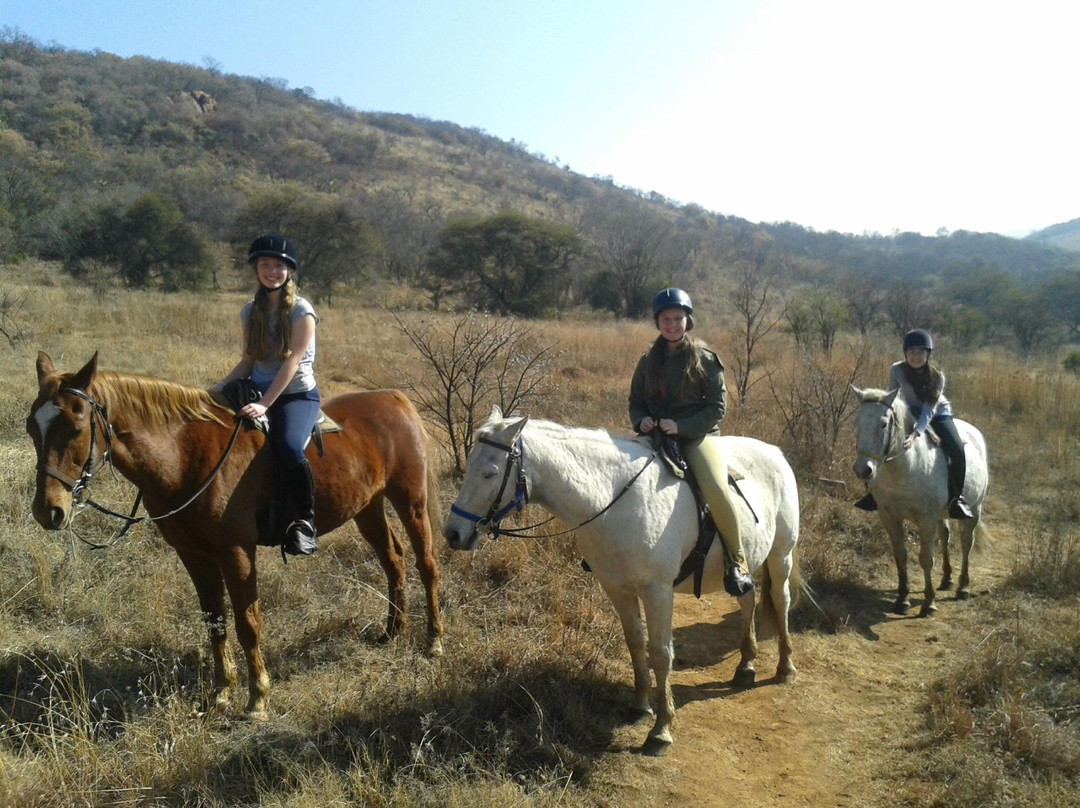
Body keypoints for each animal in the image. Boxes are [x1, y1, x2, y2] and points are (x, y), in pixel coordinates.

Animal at [28, 354, 442, 721]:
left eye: (77, 426)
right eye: (32, 427)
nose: (48, 511)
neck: (185, 456)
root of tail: (394, 397)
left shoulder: (236, 553)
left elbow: (247, 623)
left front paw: (257, 698)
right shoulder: (193, 554)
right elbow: (215, 622)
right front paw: (221, 693)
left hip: (411, 501)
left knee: (426, 564)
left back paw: (433, 641)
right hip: (367, 507)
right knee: (392, 559)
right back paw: (393, 631)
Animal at [440, 410, 803, 751]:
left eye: (490, 472)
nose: (453, 533)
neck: (614, 501)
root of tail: (775, 453)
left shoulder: (658, 592)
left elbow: (661, 653)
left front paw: (661, 729)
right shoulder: (616, 589)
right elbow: (635, 643)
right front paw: (640, 706)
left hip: (780, 554)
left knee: (781, 600)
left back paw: (785, 667)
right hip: (745, 563)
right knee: (747, 599)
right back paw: (746, 665)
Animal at [846, 388, 989, 613]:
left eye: (884, 424)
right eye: (856, 422)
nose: (862, 469)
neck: (905, 470)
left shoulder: (925, 519)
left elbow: (925, 559)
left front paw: (928, 602)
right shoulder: (889, 517)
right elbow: (900, 555)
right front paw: (902, 599)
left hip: (975, 508)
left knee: (967, 543)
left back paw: (962, 588)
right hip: (942, 514)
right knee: (945, 536)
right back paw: (946, 579)